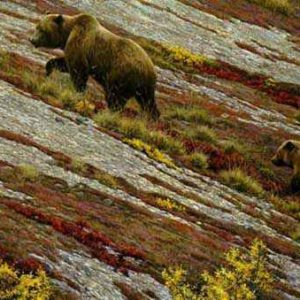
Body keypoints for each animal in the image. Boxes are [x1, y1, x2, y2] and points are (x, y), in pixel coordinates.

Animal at [30, 13, 161, 118]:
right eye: (37, 27)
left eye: (42, 29)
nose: (32, 40)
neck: (67, 33)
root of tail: (150, 70)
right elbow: (65, 64)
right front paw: (48, 70)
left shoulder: (80, 44)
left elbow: (78, 71)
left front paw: (79, 92)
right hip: (143, 86)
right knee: (147, 101)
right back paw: (151, 118)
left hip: (122, 74)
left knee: (115, 96)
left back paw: (108, 111)